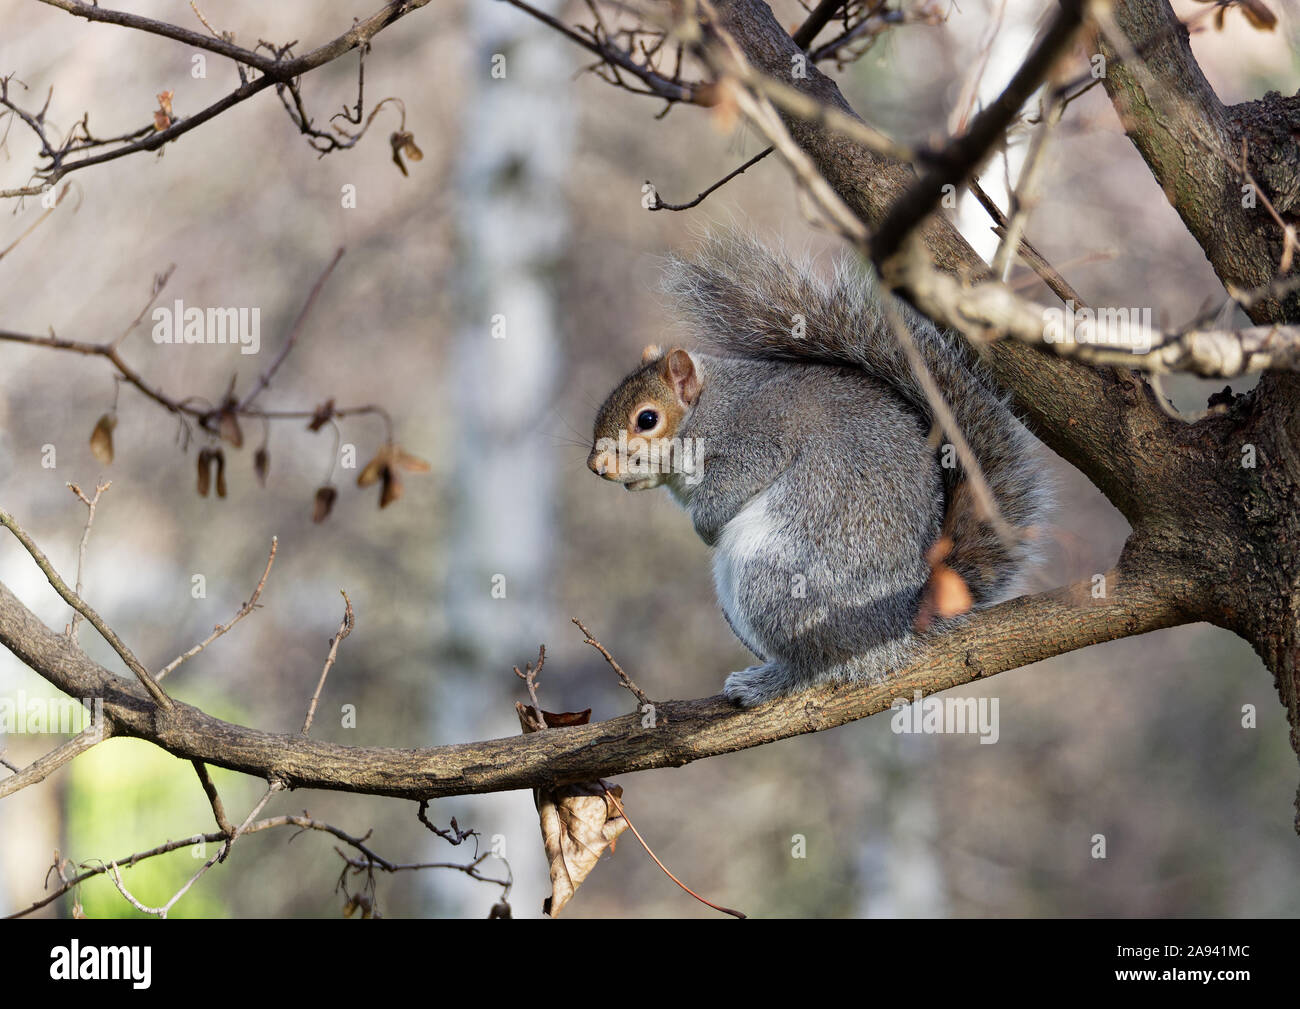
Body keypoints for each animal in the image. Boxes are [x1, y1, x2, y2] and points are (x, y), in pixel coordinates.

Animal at [587, 234, 1045, 707]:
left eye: (647, 419)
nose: (596, 466)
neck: (709, 407)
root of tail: (897, 626)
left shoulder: (757, 437)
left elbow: (736, 481)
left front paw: (707, 525)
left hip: (780, 579)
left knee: (820, 664)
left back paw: (770, 681)